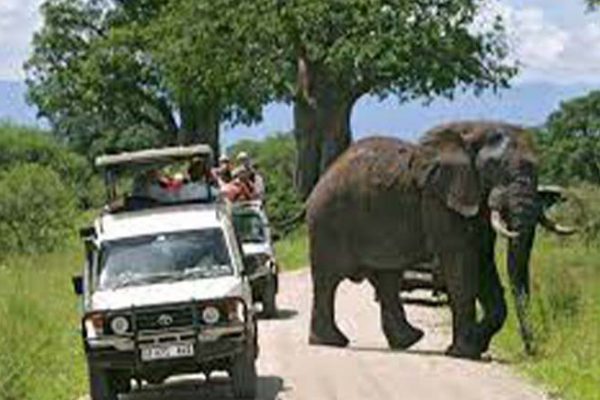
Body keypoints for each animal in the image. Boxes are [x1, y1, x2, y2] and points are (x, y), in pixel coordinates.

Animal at [308, 120, 576, 358]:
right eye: (494, 168)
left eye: (538, 168)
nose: (532, 352)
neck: (476, 130)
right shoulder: (440, 199)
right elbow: (462, 262)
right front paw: (465, 352)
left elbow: (483, 261)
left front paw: (477, 345)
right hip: (328, 221)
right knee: (328, 280)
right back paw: (332, 341)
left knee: (387, 278)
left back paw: (408, 340)